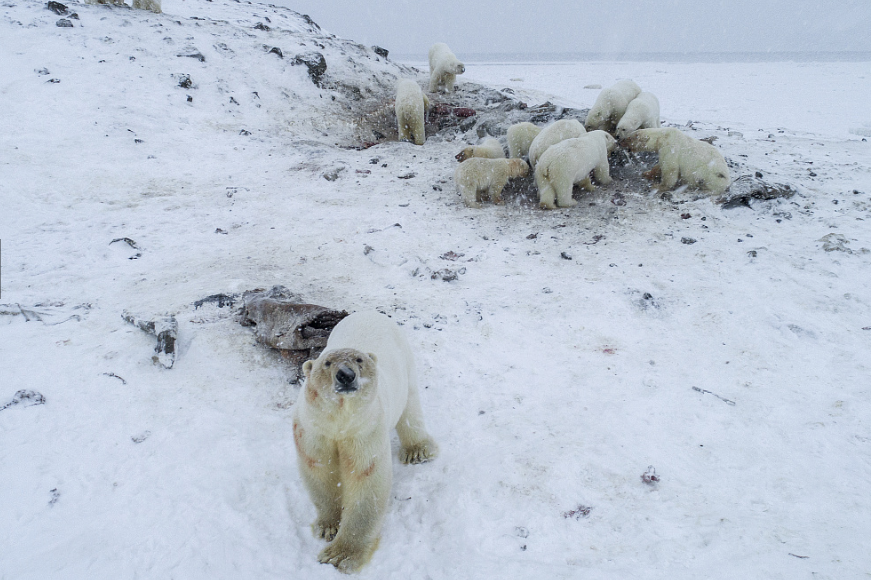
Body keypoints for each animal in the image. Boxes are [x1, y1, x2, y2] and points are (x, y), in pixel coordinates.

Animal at [296, 310, 440, 572]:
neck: (340, 421)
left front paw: (340, 555)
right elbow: (319, 470)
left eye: (359, 359)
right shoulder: (314, 430)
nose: (346, 375)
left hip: (405, 363)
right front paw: (328, 527)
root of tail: (370, 312)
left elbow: (366, 480)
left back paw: (417, 451)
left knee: (411, 405)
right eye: (327, 363)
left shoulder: (365, 430)